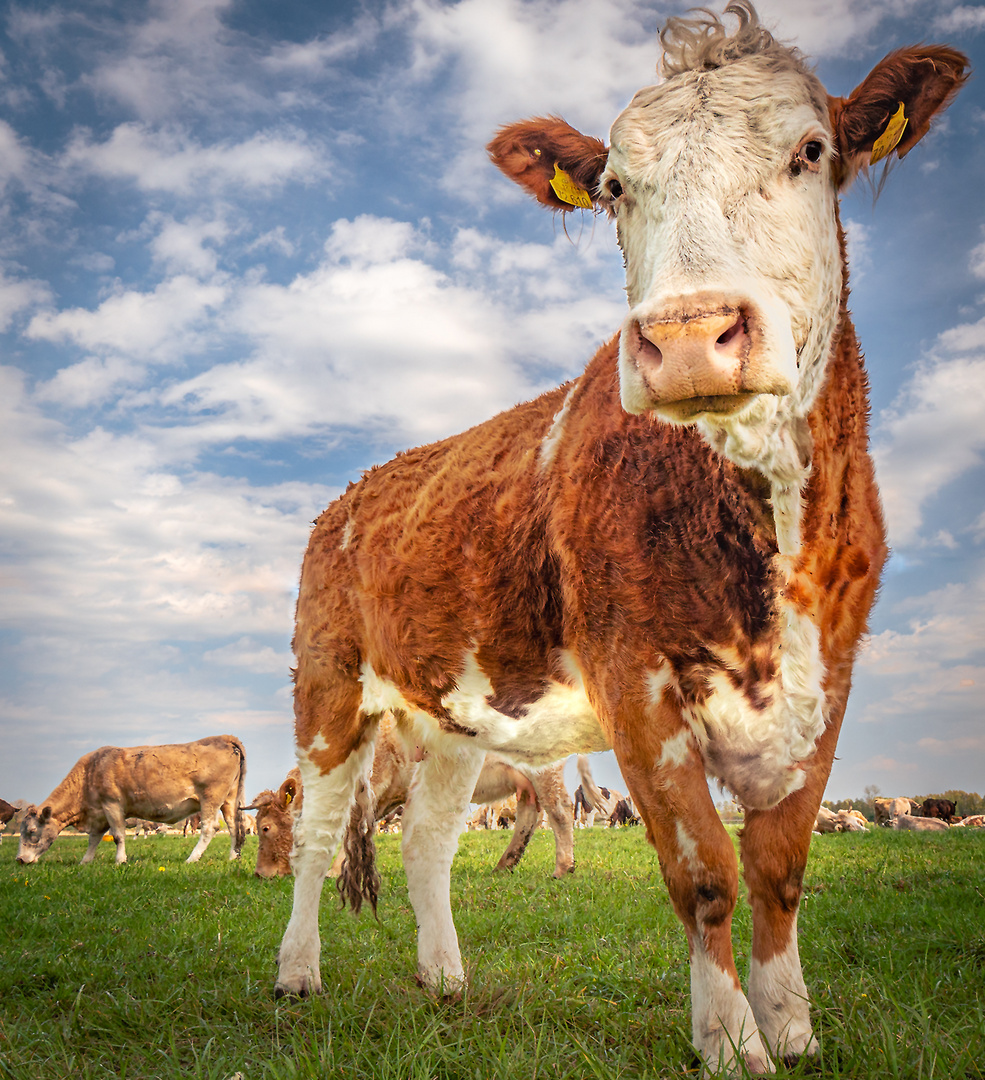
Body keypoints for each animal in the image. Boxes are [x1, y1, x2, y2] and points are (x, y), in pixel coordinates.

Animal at [16, 734, 248, 868]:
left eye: (32, 831)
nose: (19, 859)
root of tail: (224, 737)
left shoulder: (112, 805)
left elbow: (118, 835)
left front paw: (120, 860)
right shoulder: (99, 812)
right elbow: (94, 839)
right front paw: (85, 861)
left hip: (211, 798)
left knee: (210, 828)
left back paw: (192, 858)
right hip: (229, 800)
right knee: (233, 827)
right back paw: (232, 857)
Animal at [271, 6, 967, 1071]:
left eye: (811, 150)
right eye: (611, 189)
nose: (686, 336)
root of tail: (352, 494)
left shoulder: (831, 672)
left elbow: (779, 866)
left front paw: (792, 1025)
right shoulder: (631, 671)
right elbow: (705, 871)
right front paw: (730, 1039)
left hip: (454, 714)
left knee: (425, 839)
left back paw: (444, 978)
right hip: (327, 685)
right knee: (314, 838)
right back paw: (297, 974)